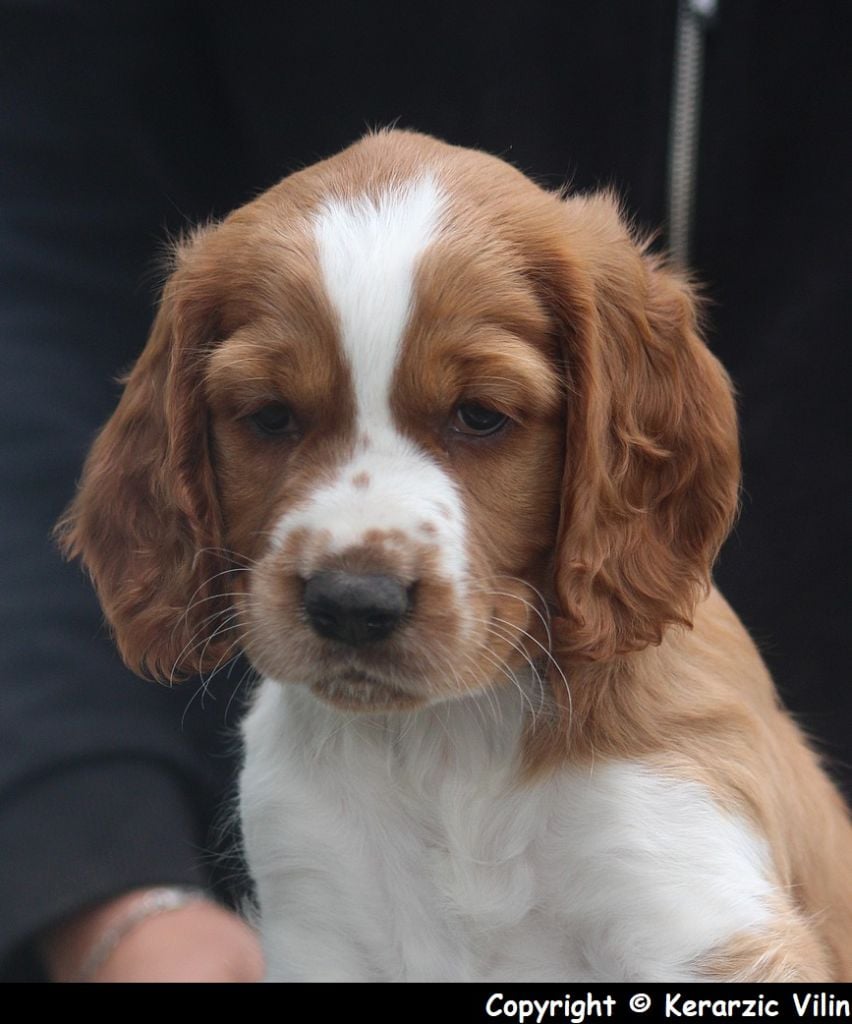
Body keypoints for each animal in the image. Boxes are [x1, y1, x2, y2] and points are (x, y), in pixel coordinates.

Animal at [60, 129, 852, 981]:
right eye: (270, 417)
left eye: (480, 416)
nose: (352, 603)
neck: (448, 741)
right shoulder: (318, 914)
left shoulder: (686, 897)